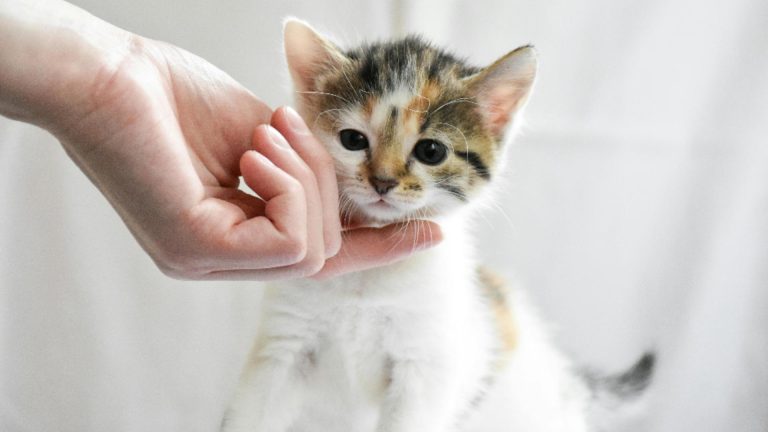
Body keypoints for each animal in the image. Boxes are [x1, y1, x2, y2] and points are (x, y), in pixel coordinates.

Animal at [221, 18, 654, 432]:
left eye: (431, 151)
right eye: (352, 140)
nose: (382, 181)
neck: (369, 280)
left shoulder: (426, 366)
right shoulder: (282, 347)